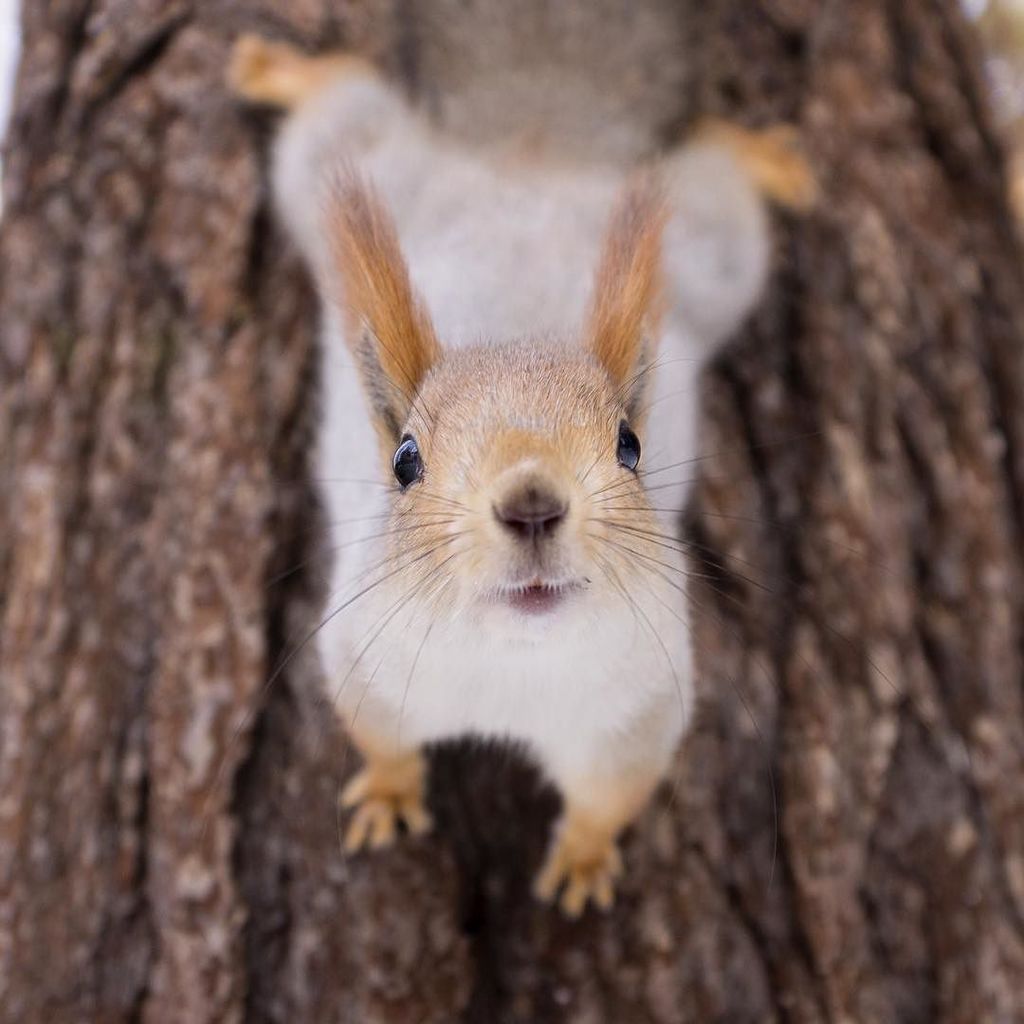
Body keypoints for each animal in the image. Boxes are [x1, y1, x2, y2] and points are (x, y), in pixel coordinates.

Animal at [228, 30, 815, 917]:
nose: (533, 504)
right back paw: (277, 69)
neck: (514, 666)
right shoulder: (362, 661)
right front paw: (390, 794)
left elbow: (609, 800)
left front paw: (582, 862)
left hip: (712, 258)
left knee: (716, 183)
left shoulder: (640, 715)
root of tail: (531, 159)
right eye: (405, 460)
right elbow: (382, 741)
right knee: (340, 105)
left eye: (630, 446)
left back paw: (764, 158)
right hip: (345, 168)